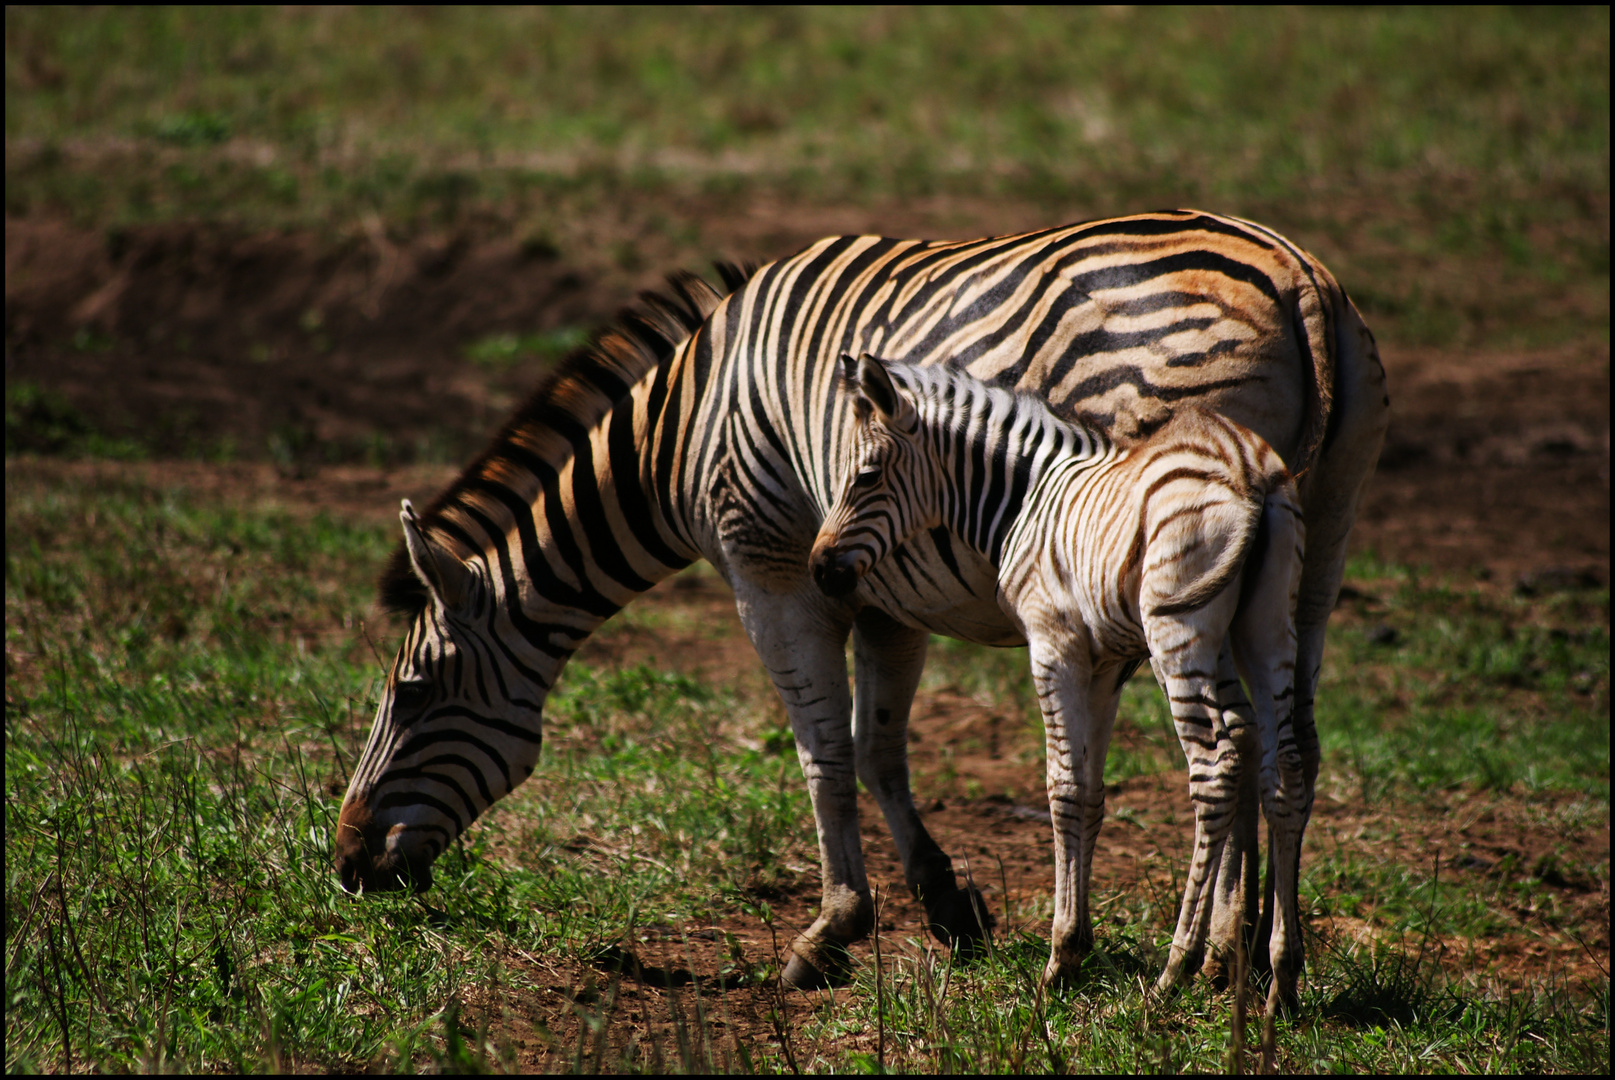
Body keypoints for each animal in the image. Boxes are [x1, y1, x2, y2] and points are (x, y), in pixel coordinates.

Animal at [813, 355, 1304, 1013]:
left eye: (864, 477)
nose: (818, 568)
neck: (1025, 499)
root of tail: (1249, 468)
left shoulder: (1055, 645)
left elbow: (1063, 789)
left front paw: (1059, 959)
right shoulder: (1104, 665)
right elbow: (1092, 794)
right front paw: (1081, 945)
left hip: (1177, 630)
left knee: (1215, 767)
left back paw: (1173, 973)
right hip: (1265, 626)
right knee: (1284, 766)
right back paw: (1281, 978)